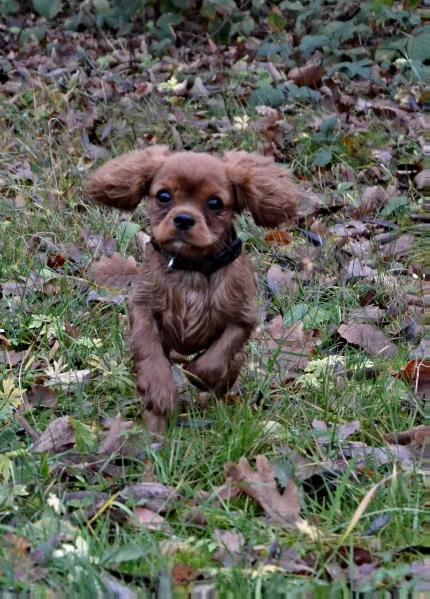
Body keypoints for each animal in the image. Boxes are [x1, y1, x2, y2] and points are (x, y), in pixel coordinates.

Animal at [87, 148, 298, 434]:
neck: (192, 268)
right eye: (164, 196)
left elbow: (215, 360)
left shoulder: (243, 318)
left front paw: (196, 373)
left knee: (225, 376)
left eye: (215, 203)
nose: (184, 218)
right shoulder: (142, 305)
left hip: (237, 358)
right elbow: (146, 344)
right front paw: (158, 388)